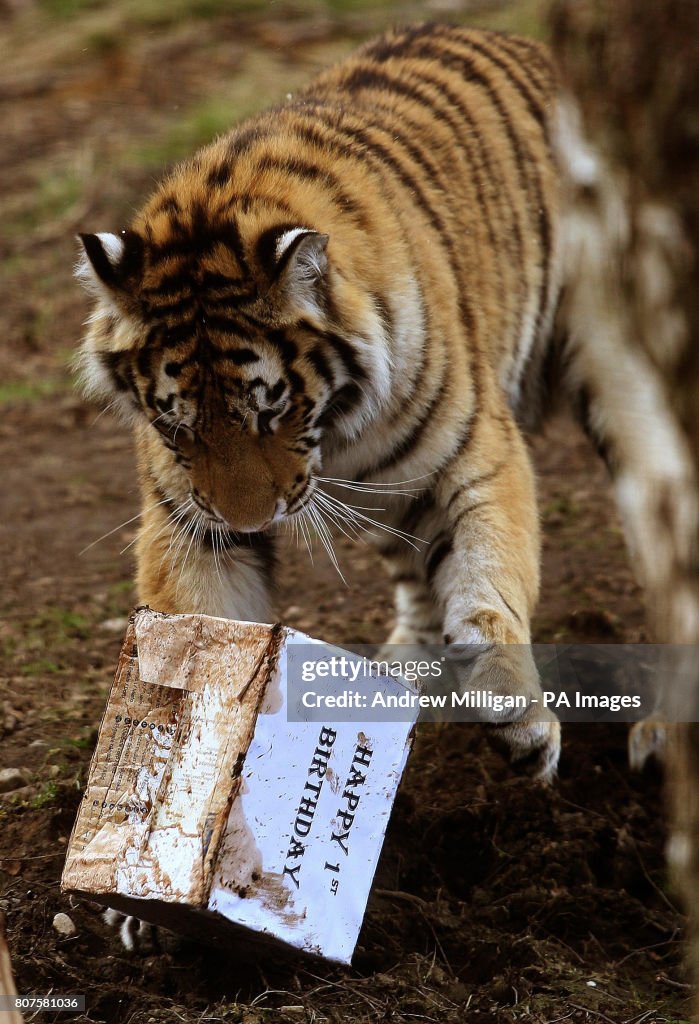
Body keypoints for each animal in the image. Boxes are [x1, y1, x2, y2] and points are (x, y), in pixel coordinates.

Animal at [75, 22, 687, 790]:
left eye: (271, 410)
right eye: (175, 422)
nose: (252, 519)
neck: (334, 430)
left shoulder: (476, 455)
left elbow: (488, 578)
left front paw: (515, 718)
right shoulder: (190, 520)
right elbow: (198, 623)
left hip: (617, 372)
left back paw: (662, 732)